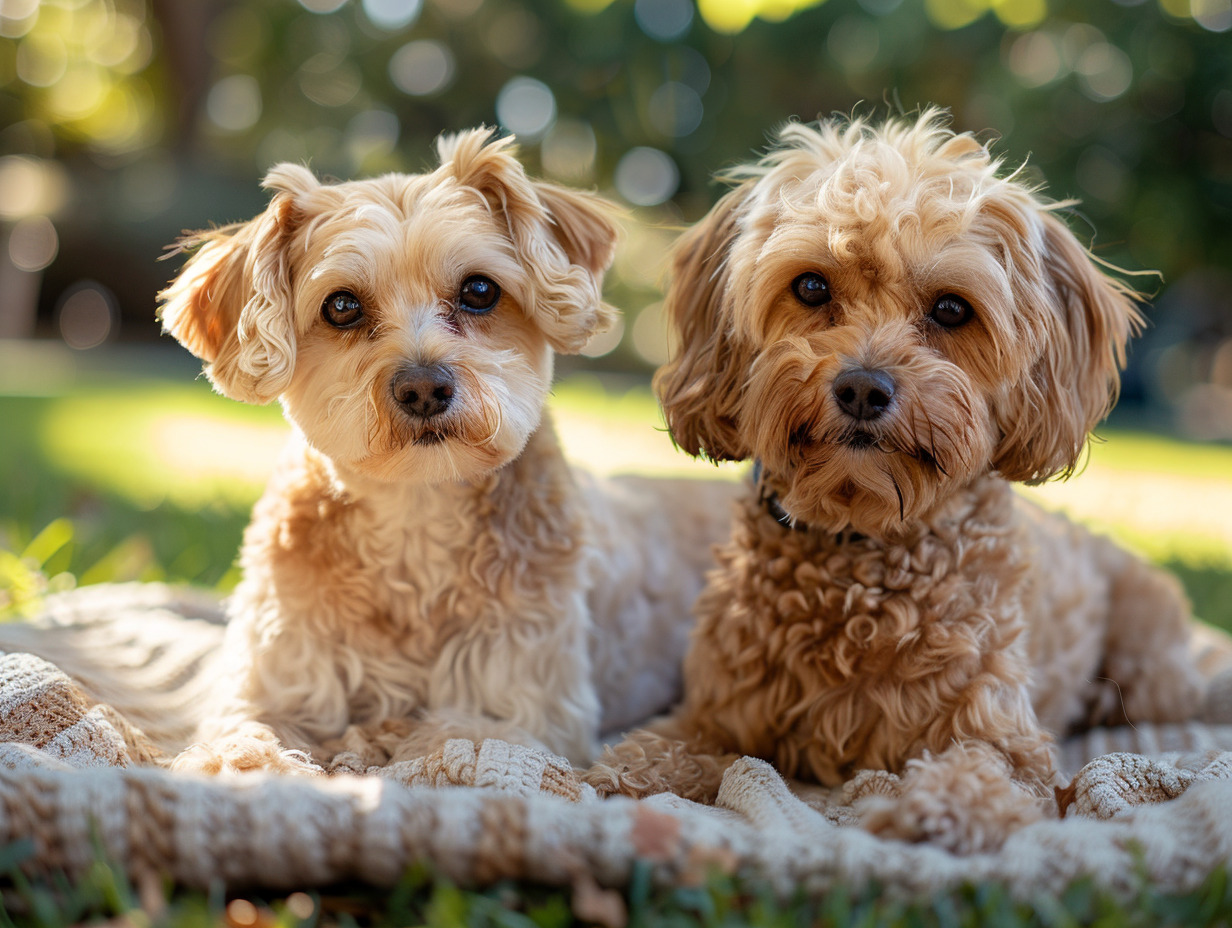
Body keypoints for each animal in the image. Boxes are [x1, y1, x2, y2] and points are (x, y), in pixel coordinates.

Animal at [152, 126, 729, 769]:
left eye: (479, 290)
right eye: (342, 306)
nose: (423, 388)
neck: (416, 516)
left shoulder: (524, 714)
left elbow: (441, 738)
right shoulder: (272, 684)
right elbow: (247, 735)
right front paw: (238, 764)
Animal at [588, 112, 1222, 852]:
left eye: (951, 309)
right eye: (811, 287)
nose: (863, 388)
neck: (863, 550)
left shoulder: (1013, 748)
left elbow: (980, 773)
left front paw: (937, 810)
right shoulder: (716, 717)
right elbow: (667, 748)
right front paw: (628, 771)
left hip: (1153, 674)